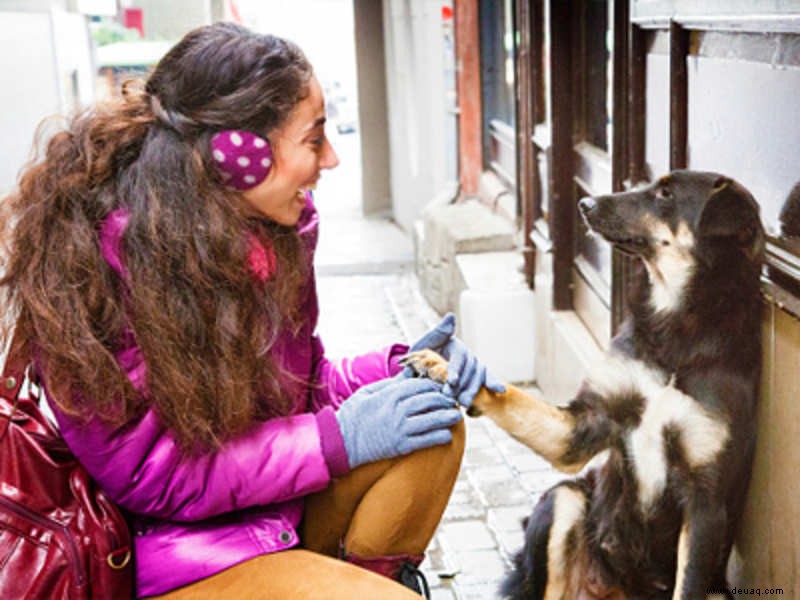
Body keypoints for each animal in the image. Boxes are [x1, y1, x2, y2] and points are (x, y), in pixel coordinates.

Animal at [404, 171, 764, 596]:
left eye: (665, 194)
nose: (585, 204)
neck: (675, 329)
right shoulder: (584, 424)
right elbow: (510, 398)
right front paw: (444, 365)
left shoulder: (705, 499)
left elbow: (687, 582)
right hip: (566, 500)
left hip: (717, 588)